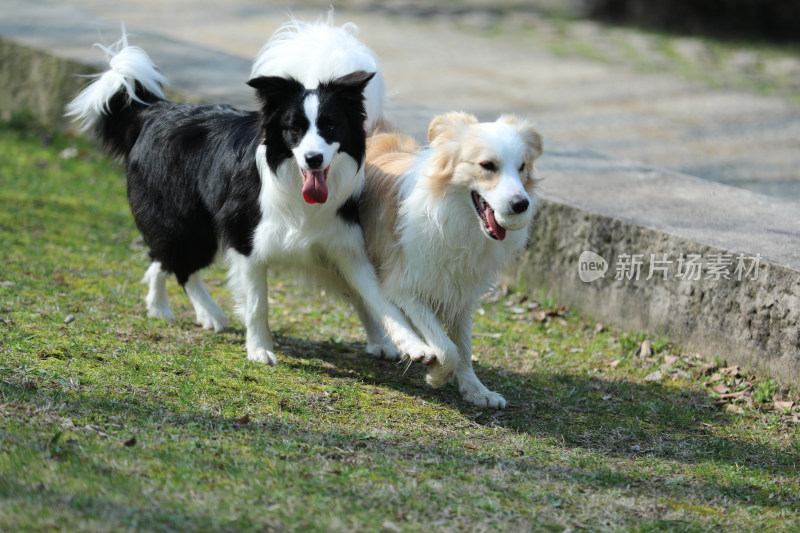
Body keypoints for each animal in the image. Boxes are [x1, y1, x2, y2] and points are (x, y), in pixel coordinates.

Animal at [68, 18, 438, 364]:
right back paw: (200, 312)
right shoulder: (246, 239)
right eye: (293, 129)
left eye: (331, 126)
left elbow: (380, 301)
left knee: (163, 257)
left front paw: (415, 346)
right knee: (179, 262)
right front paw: (259, 349)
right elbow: (258, 304)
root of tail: (158, 110)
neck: (297, 190)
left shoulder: (345, 246)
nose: (313, 158)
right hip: (188, 221)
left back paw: (162, 306)